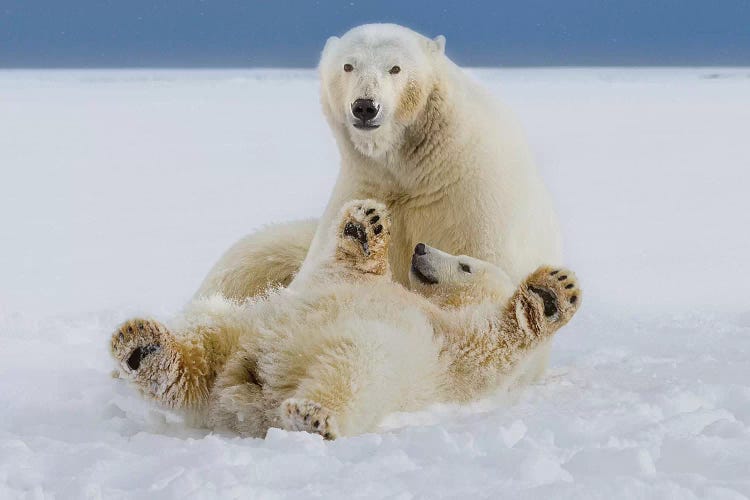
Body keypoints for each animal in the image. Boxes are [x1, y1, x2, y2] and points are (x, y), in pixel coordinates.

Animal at [111, 199, 580, 438]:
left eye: (465, 264)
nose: (421, 248)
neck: (439, 308)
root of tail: (245, 393)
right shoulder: (345, 282)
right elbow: (347, 269)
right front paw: (367, 223)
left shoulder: (451, 349)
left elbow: (492, 344)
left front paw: (552, 292)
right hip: (248, 323)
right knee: (205, 337)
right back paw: (142, 345)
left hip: (362, 356)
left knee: (351, 370)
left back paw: (312, 416)